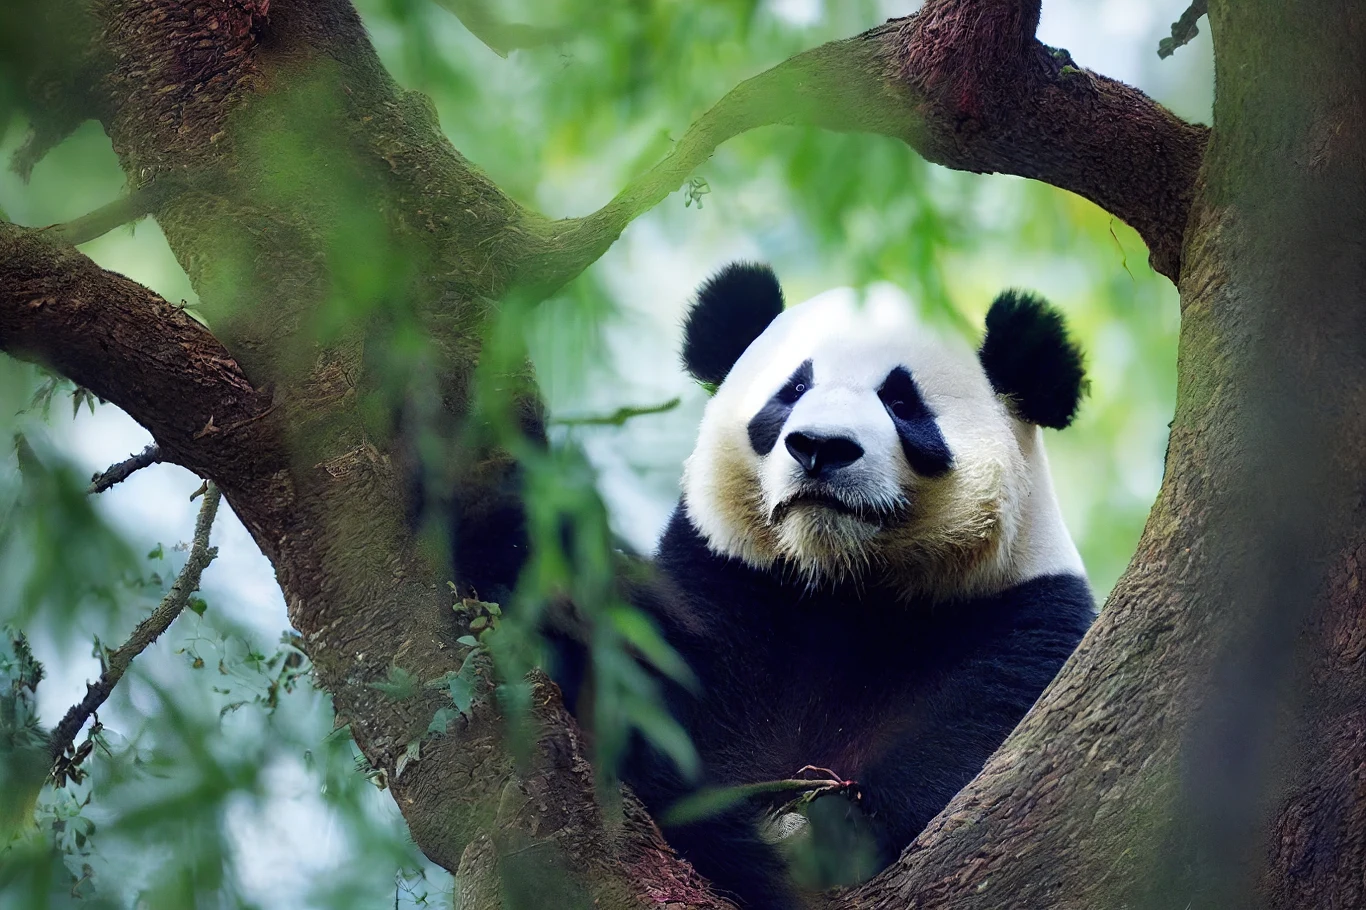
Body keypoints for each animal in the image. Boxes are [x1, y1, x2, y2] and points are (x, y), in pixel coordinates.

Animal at [568, 262, 1096, 910]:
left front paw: (834, 827)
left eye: (901, 402)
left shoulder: (1019, 610)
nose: (820, 447)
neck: (844, 579)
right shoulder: (724, 579)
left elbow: (980, 738)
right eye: (793, 390)